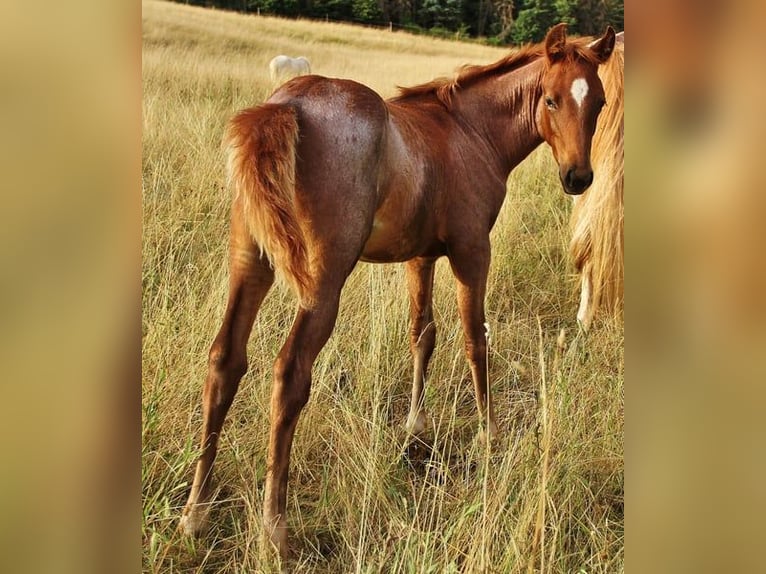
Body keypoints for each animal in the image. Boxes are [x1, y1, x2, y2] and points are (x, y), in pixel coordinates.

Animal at [180, 23, 617, 559]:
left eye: (599, 101)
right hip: (323, 280)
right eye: (551, 99)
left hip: (250, 261)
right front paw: (489, 433)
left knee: (225, 359)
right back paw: (274, 528)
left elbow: (422, 334)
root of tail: (288, 105)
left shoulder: (421, 256)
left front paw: (416, 425)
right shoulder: (472, 251)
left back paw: (195, 513)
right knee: (289, 373)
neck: (470, 131)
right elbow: (475, 338)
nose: (578, 177)